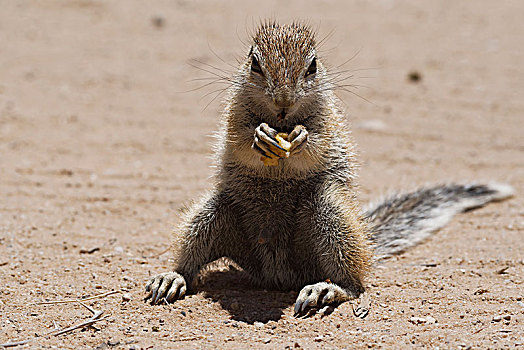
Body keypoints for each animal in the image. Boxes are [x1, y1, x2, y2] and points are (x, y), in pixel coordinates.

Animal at [145, 23, 512, 316]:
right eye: (254, 64)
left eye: (312, 66)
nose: (282, 102)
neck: (282, 121)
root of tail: (278, 274)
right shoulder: (233, 115)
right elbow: (237, 138)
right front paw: (259, 137)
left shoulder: (329, 121)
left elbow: (320, 142)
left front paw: (302, 140)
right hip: (210, 215)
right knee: (190, 259)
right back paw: (171, 278)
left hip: (330, 216)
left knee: (355, 284)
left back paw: (328, 288)